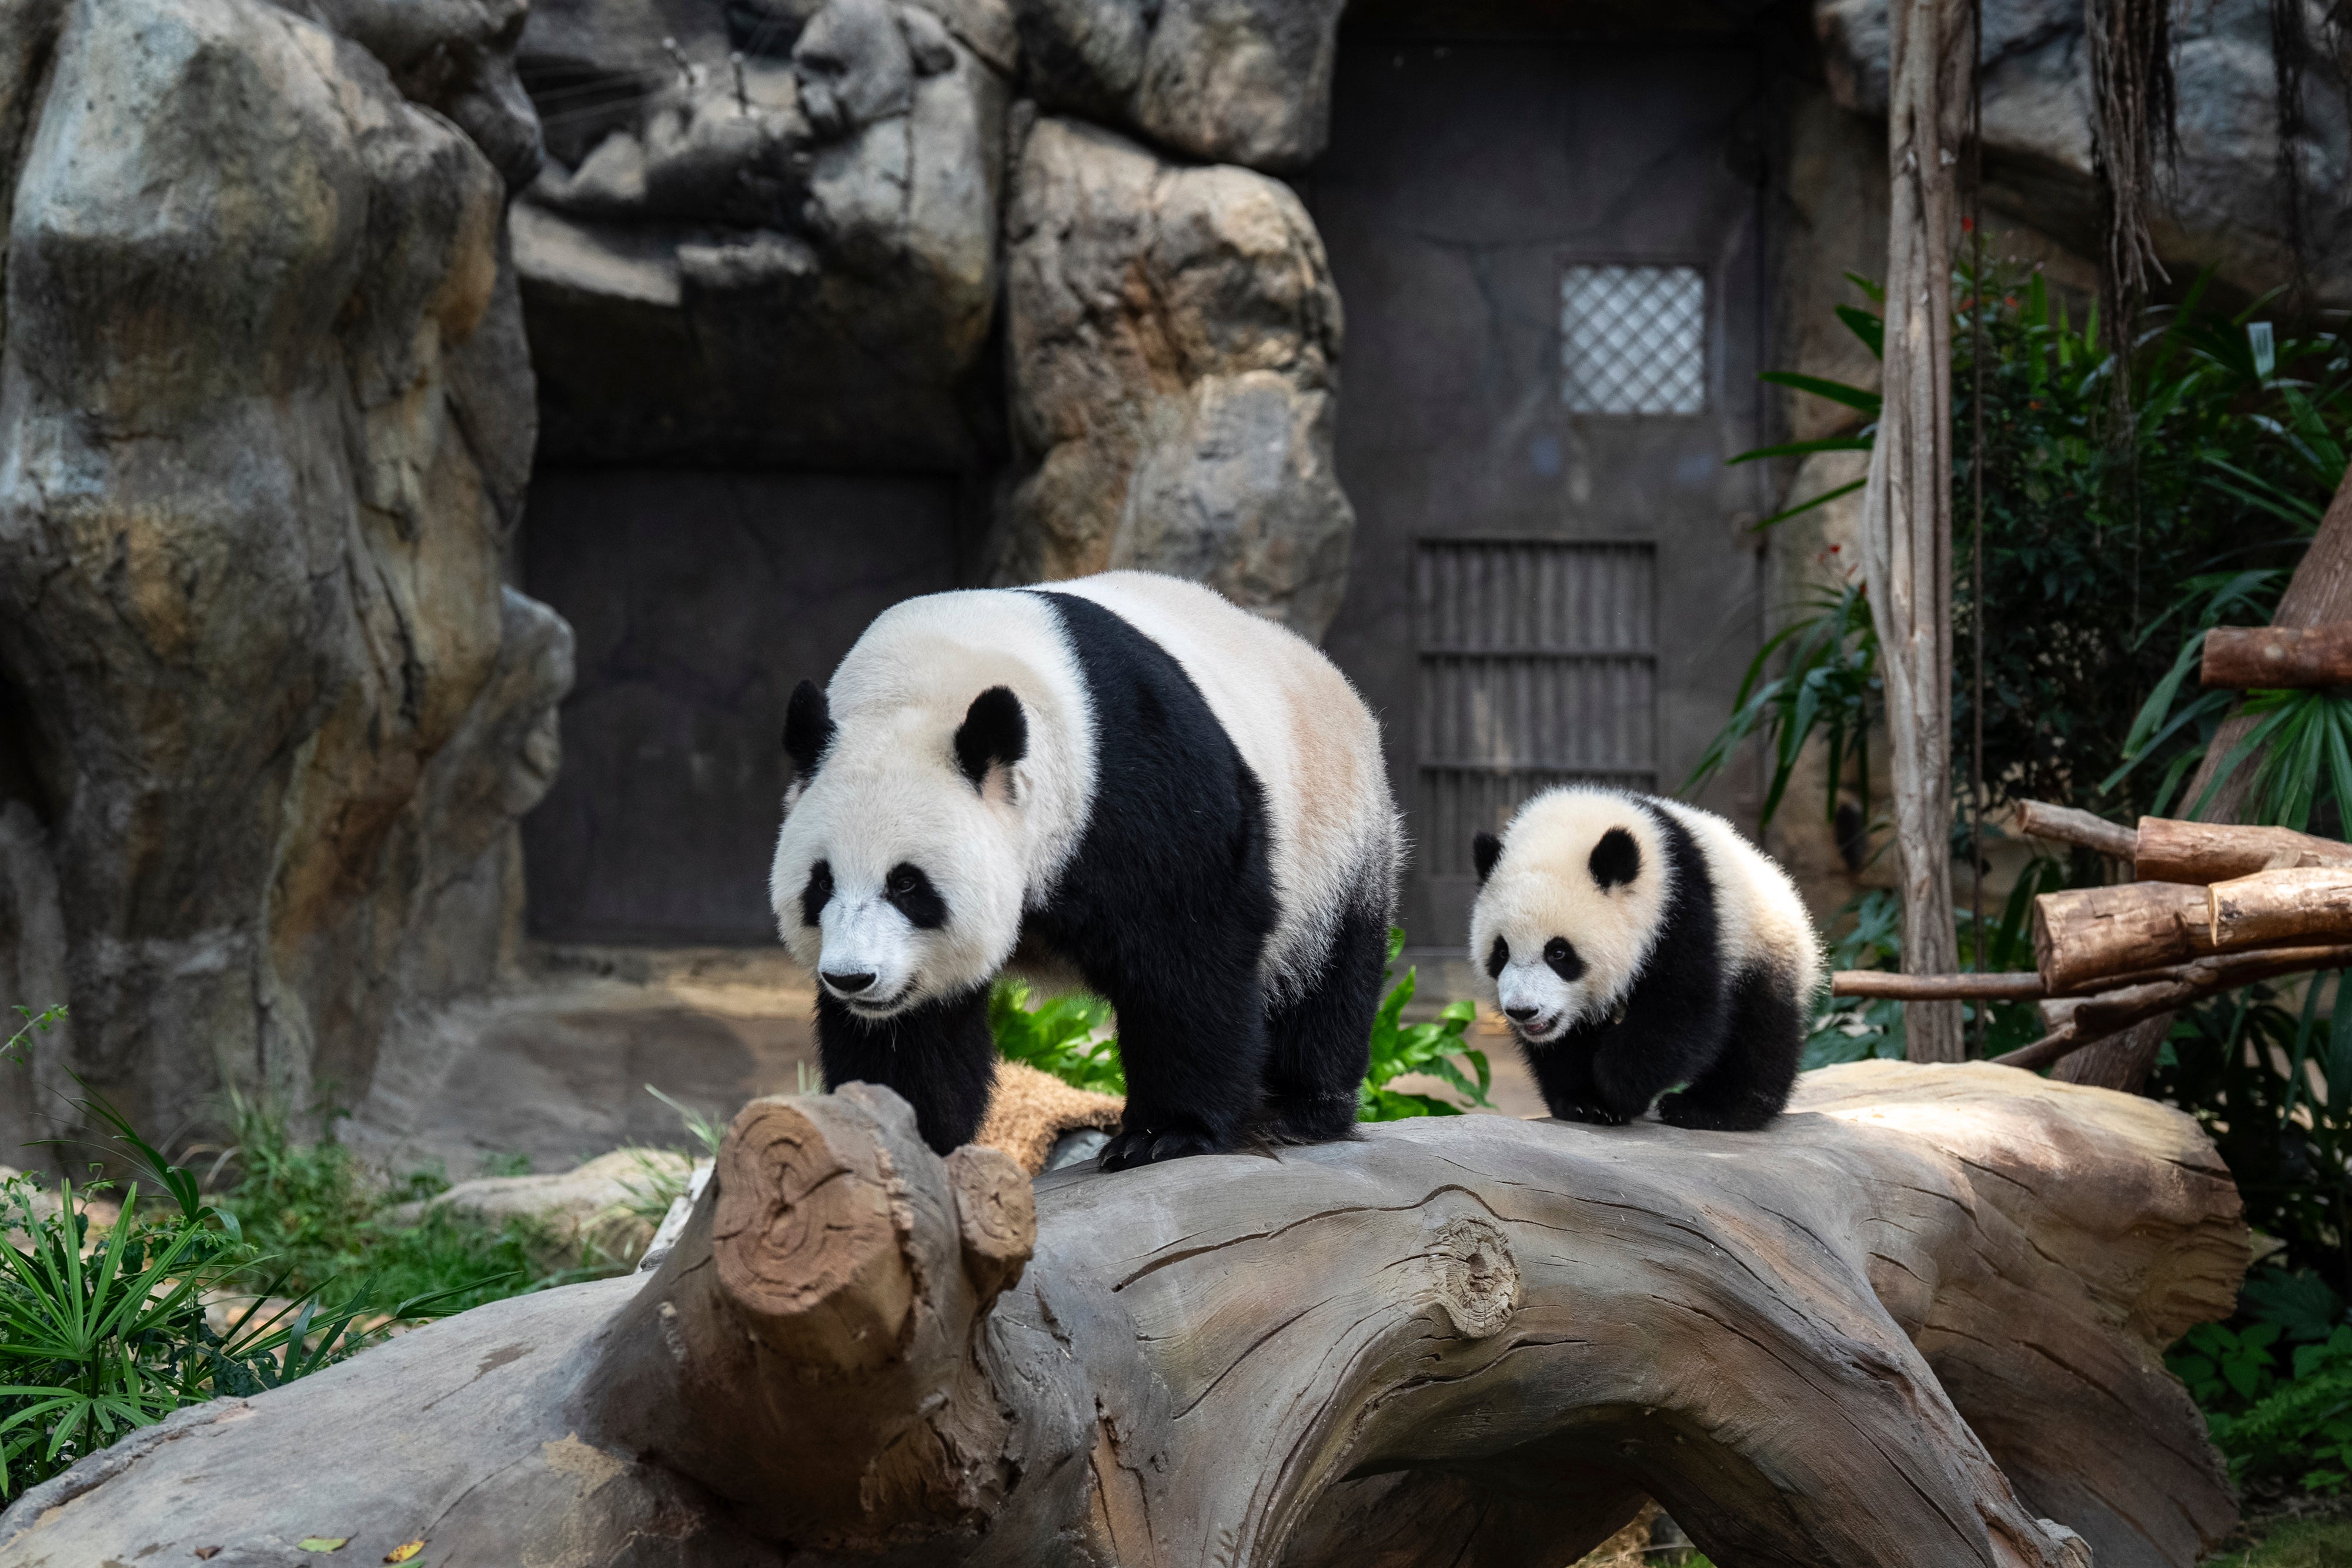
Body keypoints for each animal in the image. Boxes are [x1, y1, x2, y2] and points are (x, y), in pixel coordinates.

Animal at [771, 571, 1403, 1169]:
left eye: (906, 883)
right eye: (821, 882)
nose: (853, 978)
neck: (924, 689)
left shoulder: (1131, 778)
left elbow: (1188, 950)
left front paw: (1164, 1134)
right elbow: (913, 1035)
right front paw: (901, 1140)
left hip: (1332, 833)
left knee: (1325, 973)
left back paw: (1300, 1109)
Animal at [1468, 786, 1821, 1132]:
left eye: (1558, 952)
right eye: (1502, 952)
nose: (1523, 1011)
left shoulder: (1679, 908)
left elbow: (1684, 1007)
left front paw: (1618, 1087)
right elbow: (1567, 1041)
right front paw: (1587, 1102)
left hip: (1760, 940)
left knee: (1761, 1027)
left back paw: (1709, 1109)